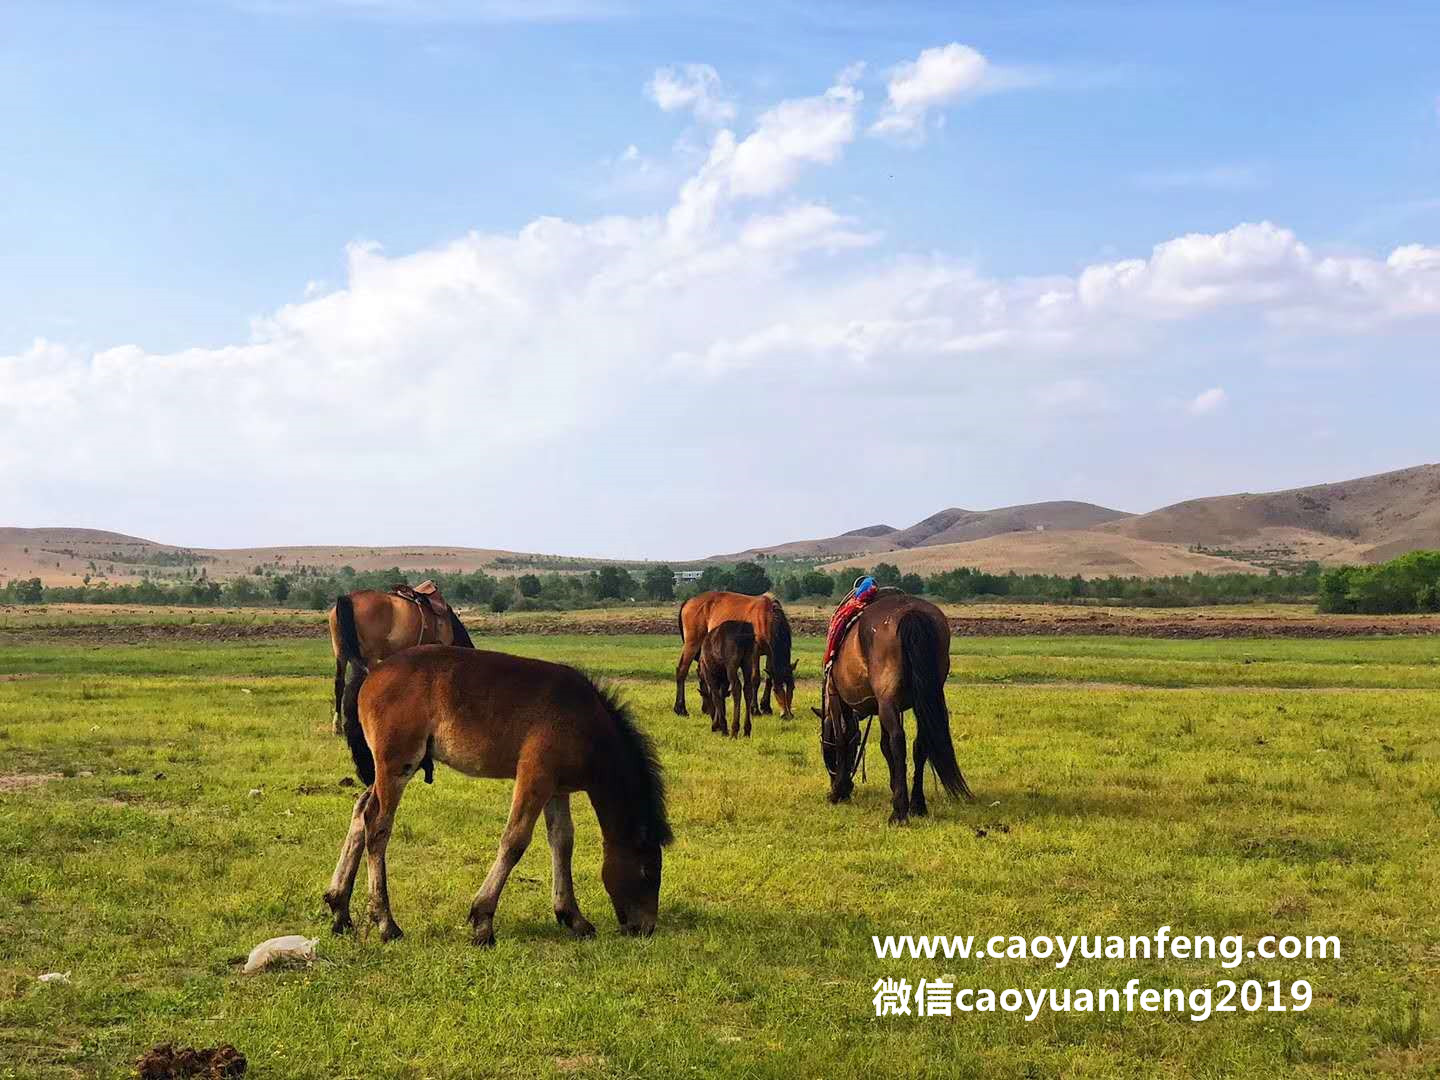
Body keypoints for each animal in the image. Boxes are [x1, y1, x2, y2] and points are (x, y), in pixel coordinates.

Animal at [326, 648, 673, 944]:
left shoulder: (556, 788)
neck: (585, 722)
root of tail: (372, 673)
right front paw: (483, 922)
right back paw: (386, 923)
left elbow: (562, 841)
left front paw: (573, 917)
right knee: (377, 823)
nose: (645, 927)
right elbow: (515, 840)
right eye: (648, 872)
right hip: (398, 764)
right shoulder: (534, 776)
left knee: (360, 810)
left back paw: (339, 908)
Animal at [817, 596, 973, 823]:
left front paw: (838, 790)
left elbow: (842, 740)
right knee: (920, 743)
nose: (834, 779)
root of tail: (912, 613)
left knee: (899, 740)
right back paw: (917, 804)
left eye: (824, 749)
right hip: (923, 698)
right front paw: (894, 787)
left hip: (887, 701)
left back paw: (899, 810)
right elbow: (884, 746)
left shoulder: (838, 697)